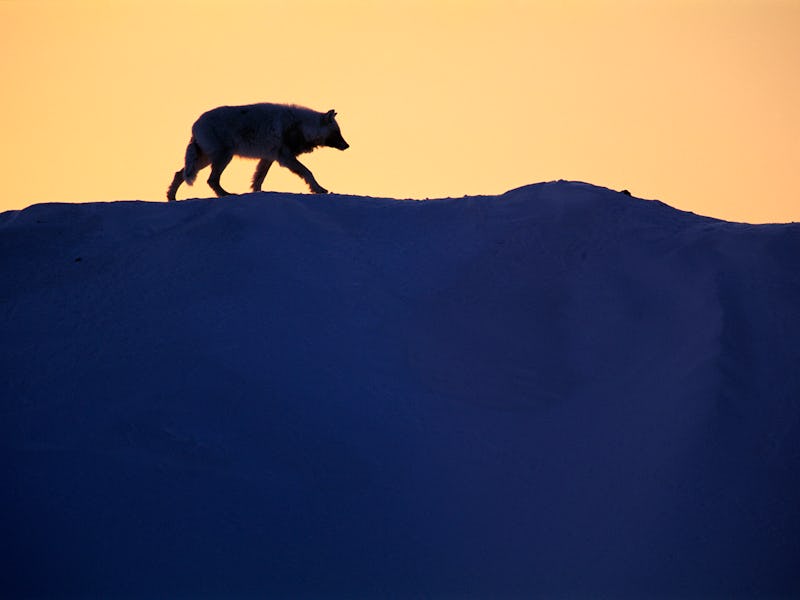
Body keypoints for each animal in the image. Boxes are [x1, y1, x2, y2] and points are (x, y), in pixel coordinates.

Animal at [167, 103, 349, 201]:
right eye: (337, 133)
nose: (347, 146)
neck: (301, 126)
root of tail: (195, 125)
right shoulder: (286, 158)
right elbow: (308, 172)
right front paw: (319, 189)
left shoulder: (268, 158)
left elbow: (258, 179)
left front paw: (257, 193)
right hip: (222, 158)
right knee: (211, 180)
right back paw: (226, 194)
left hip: (204, 161)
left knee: (179, 174)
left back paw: (171, 198)